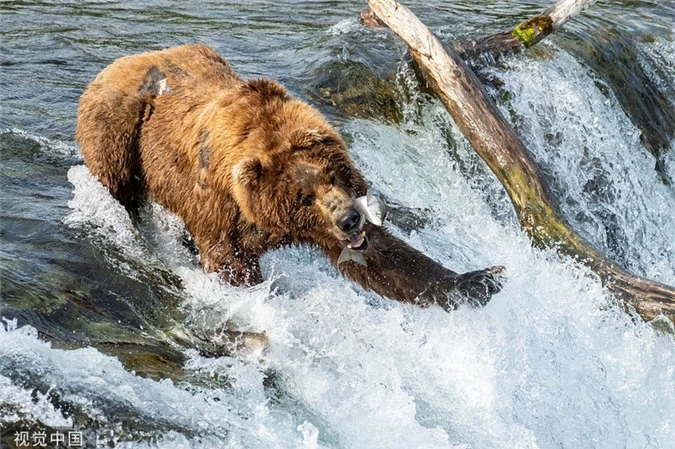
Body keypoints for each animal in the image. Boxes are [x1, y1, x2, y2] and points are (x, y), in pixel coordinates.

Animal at [76, 43, 504, 310]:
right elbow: (228, 262)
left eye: (333, 175)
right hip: (119, 128)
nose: (350, 219)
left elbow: (384, 261)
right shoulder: (219, 208)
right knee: (118, 185)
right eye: (303, 195)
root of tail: (120, 61)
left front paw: (479, 280)